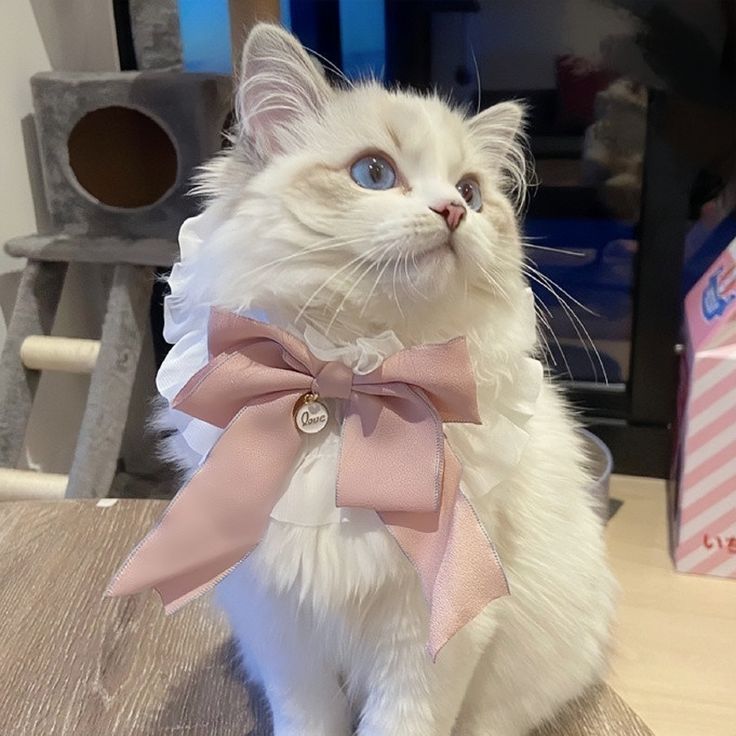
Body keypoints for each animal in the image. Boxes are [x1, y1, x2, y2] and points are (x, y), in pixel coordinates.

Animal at [160, 23, 616, 736]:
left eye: (472, 192)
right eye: (373, 174)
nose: (454, 210)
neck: (351, 381)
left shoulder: (430, 637)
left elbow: (401, 721)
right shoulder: (284, 634)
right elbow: (307, 719)